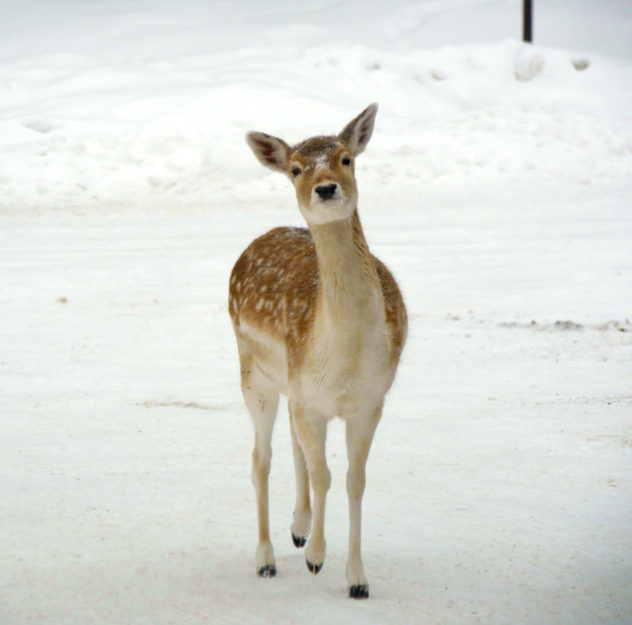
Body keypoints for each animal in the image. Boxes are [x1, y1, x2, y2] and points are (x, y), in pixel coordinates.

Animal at [230, 103, 408, 600]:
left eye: (346, 158)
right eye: (295, 169)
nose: (325, 187)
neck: (346, 355)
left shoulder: (369, 401)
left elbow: (354, 480)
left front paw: (357, 579)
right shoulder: (312, 397)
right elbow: (324, 474)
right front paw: (315, 558)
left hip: (293, 387)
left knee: (293, 445)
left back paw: (298, 526)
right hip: (254, 372)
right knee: (261, 458)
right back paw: (267, 558)